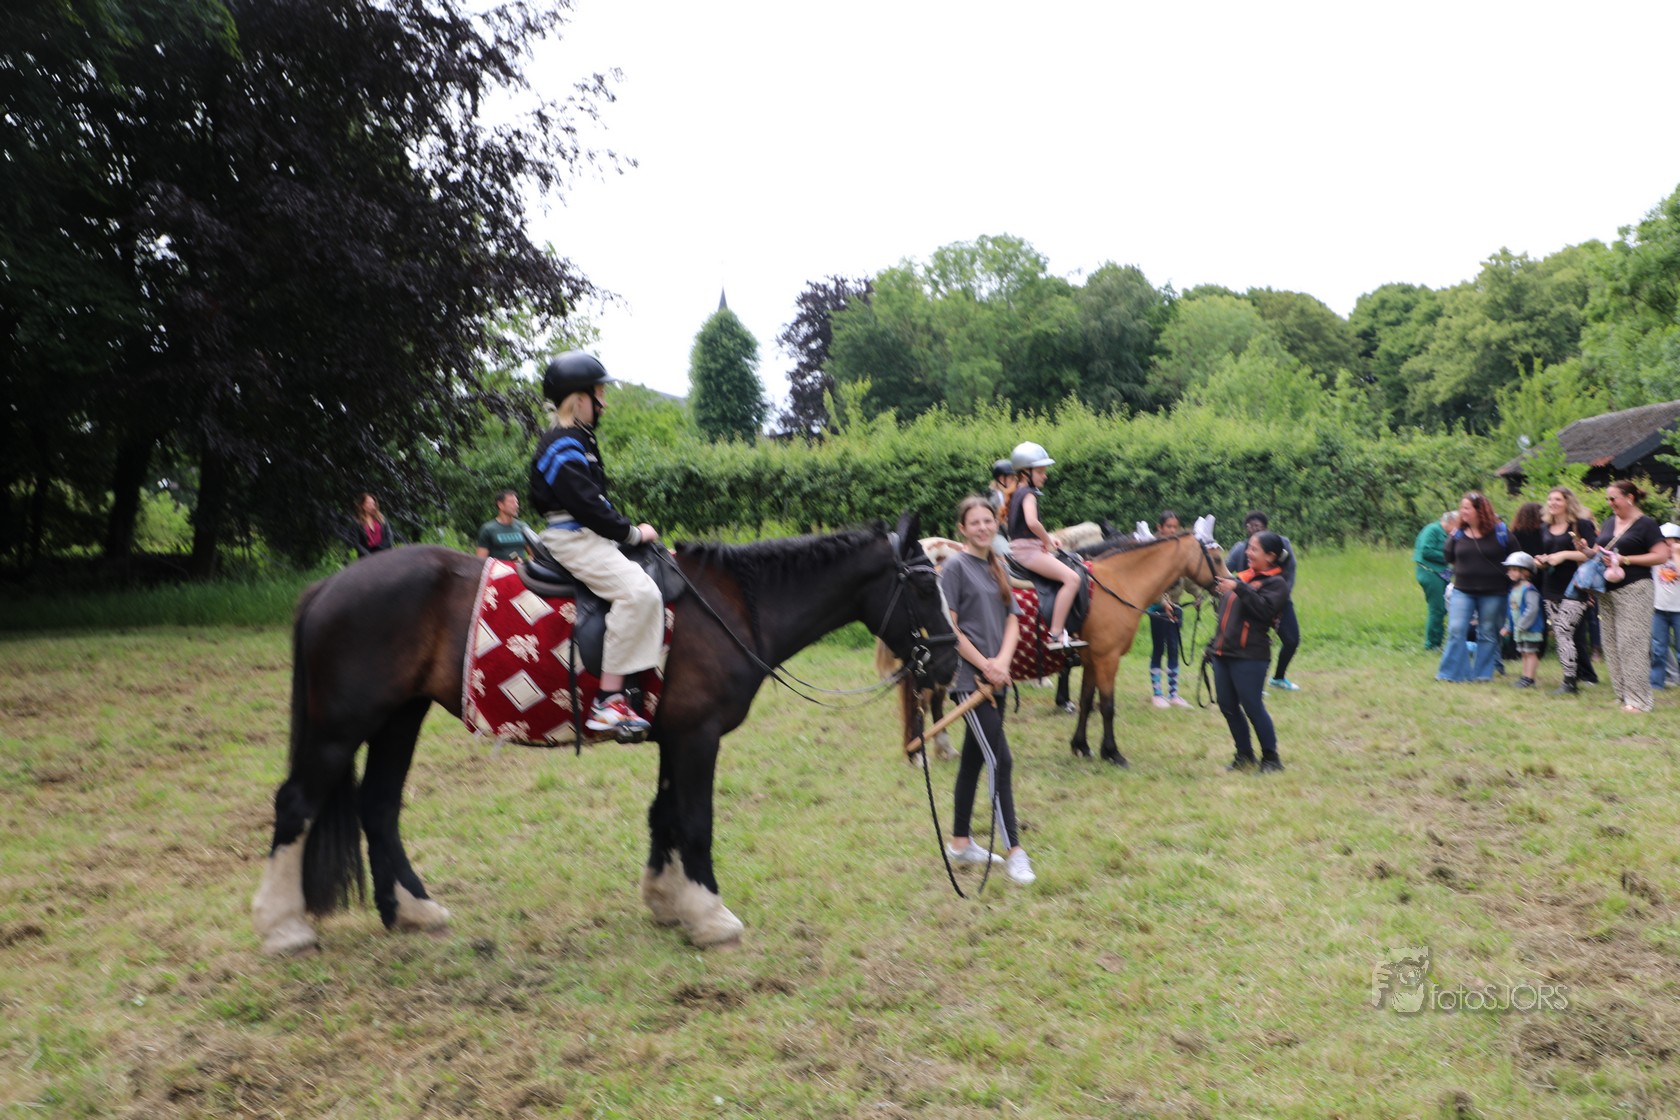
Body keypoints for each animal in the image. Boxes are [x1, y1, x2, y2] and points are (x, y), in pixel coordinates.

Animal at [250, 513, 958, 953]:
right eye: (926, 586)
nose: (951, 663)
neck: (732, 607)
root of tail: (328, 586)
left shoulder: (676, 738)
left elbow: (663, 814)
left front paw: (668, 901)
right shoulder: (698, 737)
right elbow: (695, 820)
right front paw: (710, 915)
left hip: (400, 718)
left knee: (378, 805)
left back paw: (412, 911)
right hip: (341, 728)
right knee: (297, 805)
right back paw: (283, 927)